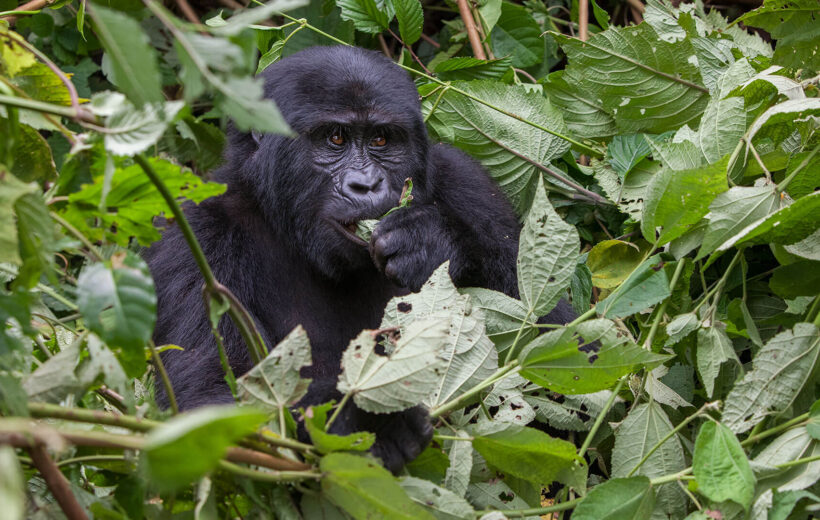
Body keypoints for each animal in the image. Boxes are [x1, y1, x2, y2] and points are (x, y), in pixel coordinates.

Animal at [144, 46, 572, 474]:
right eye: (335, 137)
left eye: (381, 138)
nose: (366, 185)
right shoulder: (193, 234)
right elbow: (215, 401)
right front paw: (365, 419)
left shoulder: (468, 182)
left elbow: (558, 338)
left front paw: (434, 243)